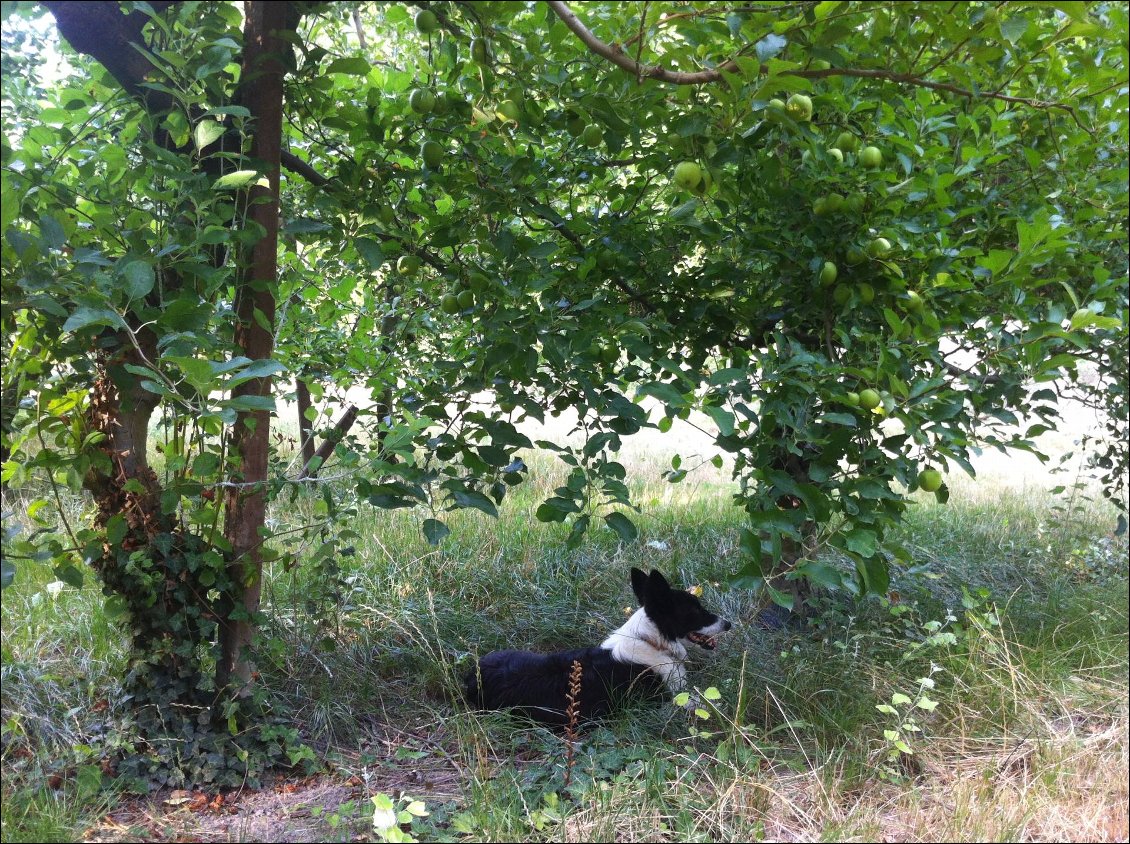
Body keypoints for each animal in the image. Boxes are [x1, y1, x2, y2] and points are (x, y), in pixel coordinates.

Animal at [461, 567, 732, 727]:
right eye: (695, 611)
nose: (728, 624)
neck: (651, 640)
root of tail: (472, 676)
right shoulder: (658, 702)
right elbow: (702, 702)